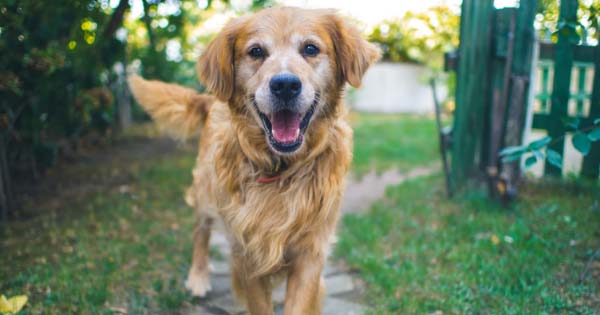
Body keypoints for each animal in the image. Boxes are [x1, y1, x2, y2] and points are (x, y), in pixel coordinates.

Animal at [127, 5, 380, 315]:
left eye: (310, 48)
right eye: (256, 51)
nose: (285, 85)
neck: (283, 169)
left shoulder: (311, 252)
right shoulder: (247, 251)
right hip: (206, 191)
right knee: (201, 231)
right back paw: (198, 276)